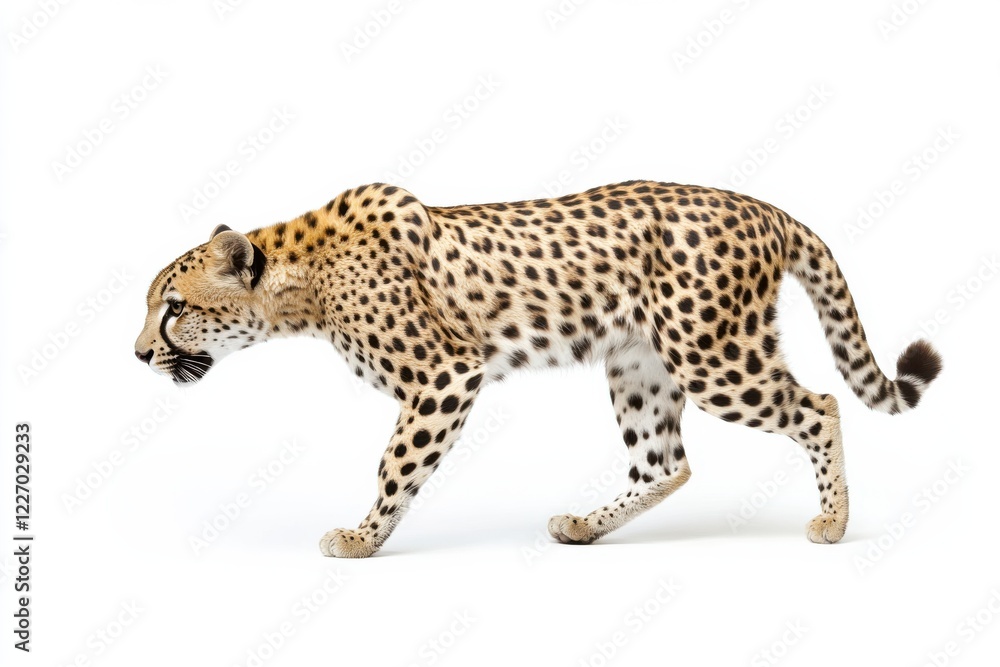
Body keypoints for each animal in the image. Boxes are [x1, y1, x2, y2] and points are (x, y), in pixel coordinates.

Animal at [135, 180, 942, 558]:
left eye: (173, 308)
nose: (140, 355)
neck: (300, 285)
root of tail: (762, 205)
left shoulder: (446, 373)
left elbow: (395, 464)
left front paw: (363, 538)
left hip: (712, 355)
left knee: (821, 406)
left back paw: (833, 521)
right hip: (637, 362)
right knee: (666, 462)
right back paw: (585, 525)